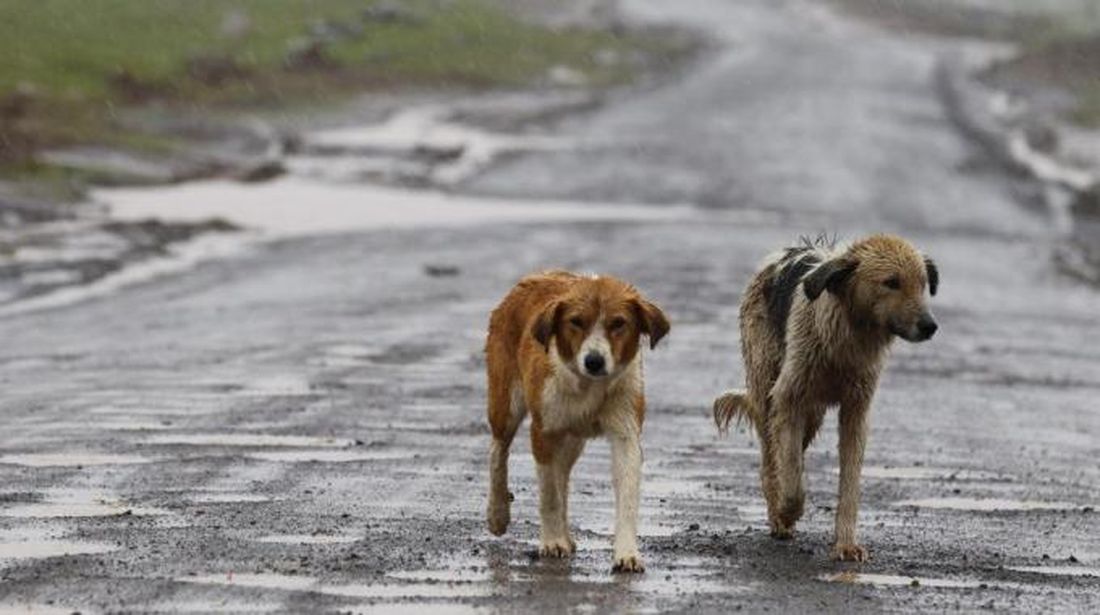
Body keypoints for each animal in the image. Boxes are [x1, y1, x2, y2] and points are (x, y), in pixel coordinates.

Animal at [484, 271, 668, 576]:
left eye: (618, 323)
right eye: (576, 322)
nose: (594, 361)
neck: (588, 387)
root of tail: (533, 276)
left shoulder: (626, 434)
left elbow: (626, 497)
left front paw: (627, 554)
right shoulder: (543, 431)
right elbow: (549, 495)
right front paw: (551, 541)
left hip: (572, 440)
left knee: (563, 475)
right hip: (506, 404)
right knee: (498, 452)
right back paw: (498, 514)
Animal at [712, 235, 937, 563]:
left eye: (922, 284)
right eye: (891, 282)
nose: (930, 326)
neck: (848, 337)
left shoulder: (856, 410)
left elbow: (850, 483)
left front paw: (846, 544)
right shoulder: (787, 398)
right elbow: (792, 478)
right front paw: (786, 511)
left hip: (813, 413)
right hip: (768, 389)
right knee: (771, 460)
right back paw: (777, 515)